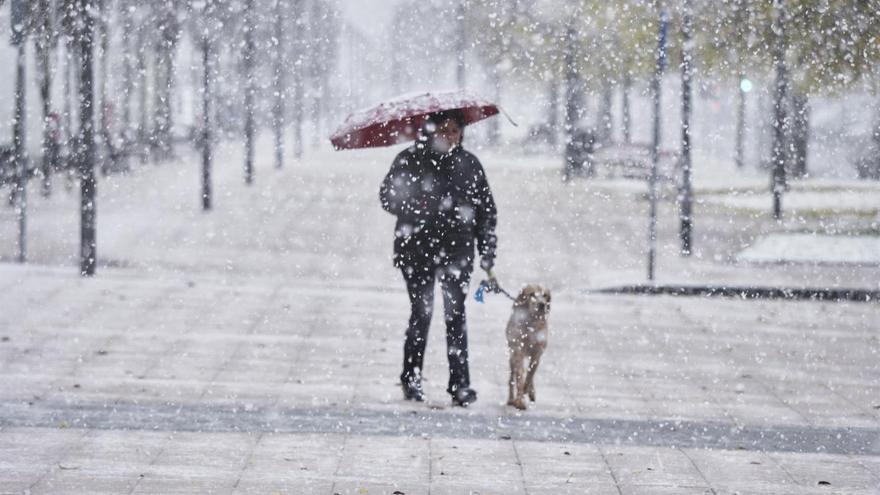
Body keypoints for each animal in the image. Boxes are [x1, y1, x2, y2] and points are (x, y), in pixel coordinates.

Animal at [508, 284, 552, 412]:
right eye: (532, 294)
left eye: (545, 295)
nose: (542, 304)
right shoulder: (518, 351)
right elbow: (519, 377)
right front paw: (519, 402)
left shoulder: (537, 354)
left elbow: (530, 375)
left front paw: (527, 390)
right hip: (512, 356)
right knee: (511, 379)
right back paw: (511, 399)